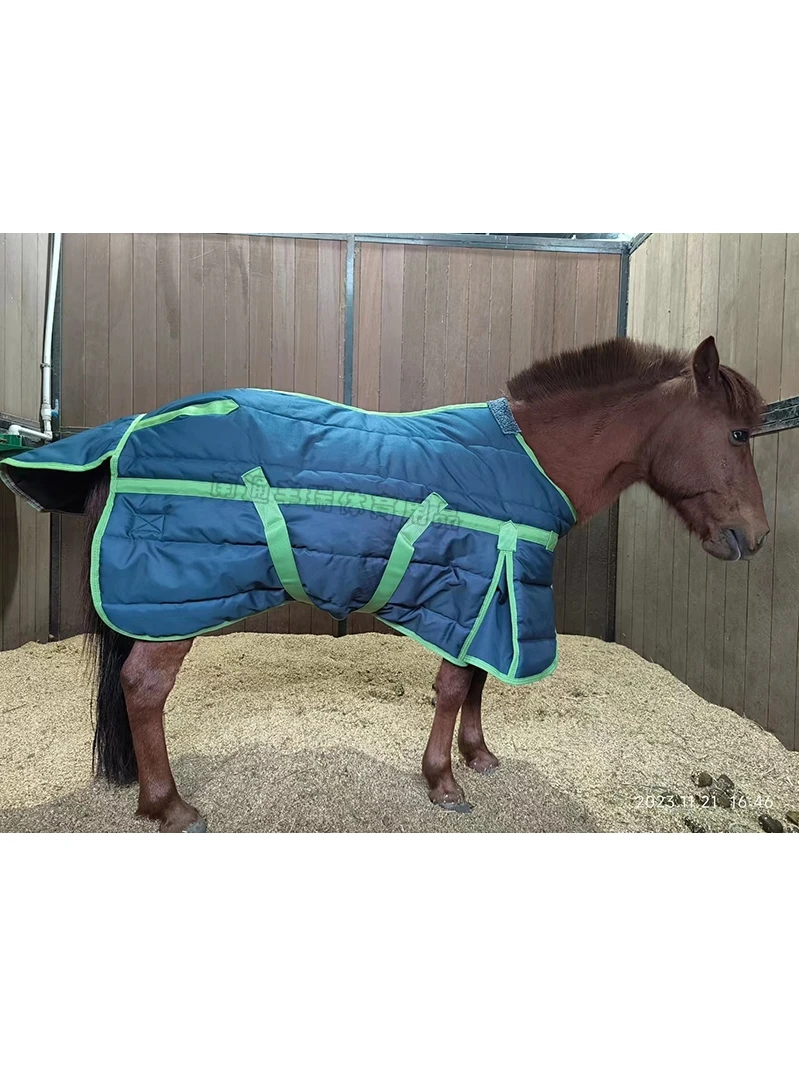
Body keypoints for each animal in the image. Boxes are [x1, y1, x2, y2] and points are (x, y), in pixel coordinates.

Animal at [1, 335, 769, 831]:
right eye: (736, 435)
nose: (754, 537)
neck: (528, 461)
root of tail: (127, 434)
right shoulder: (474, 588)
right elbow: (455, 687)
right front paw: (443, 782)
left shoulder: (485, 596)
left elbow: (478, 681)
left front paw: (478, 756)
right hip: (173, 607)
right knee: (143, 689)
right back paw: (171, 806)